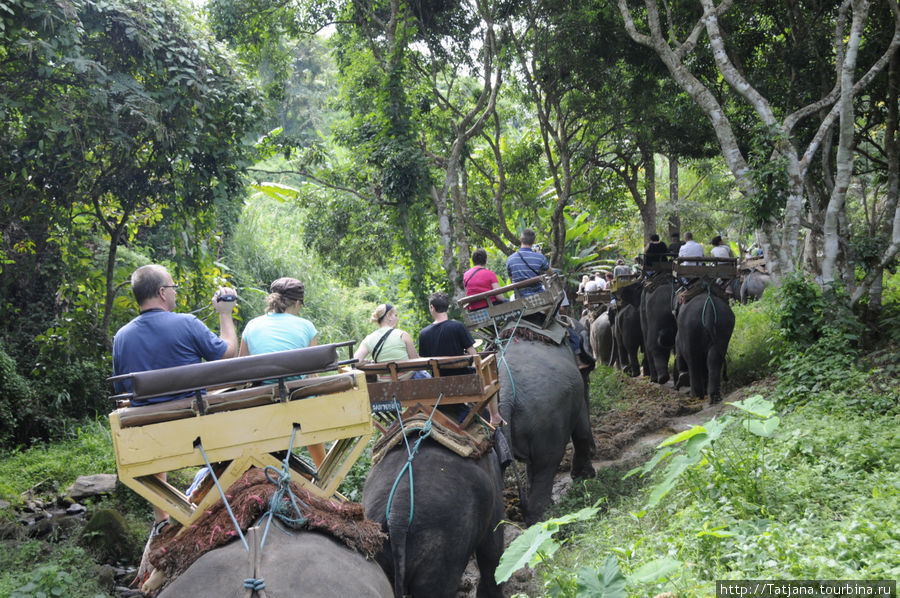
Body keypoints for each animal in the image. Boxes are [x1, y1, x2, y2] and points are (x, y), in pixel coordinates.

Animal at [496, 338, 596, 524]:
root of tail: (505, 393)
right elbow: (581, 429)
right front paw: (585, 477)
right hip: (548, 415)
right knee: (548, 462)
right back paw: (545, 519)